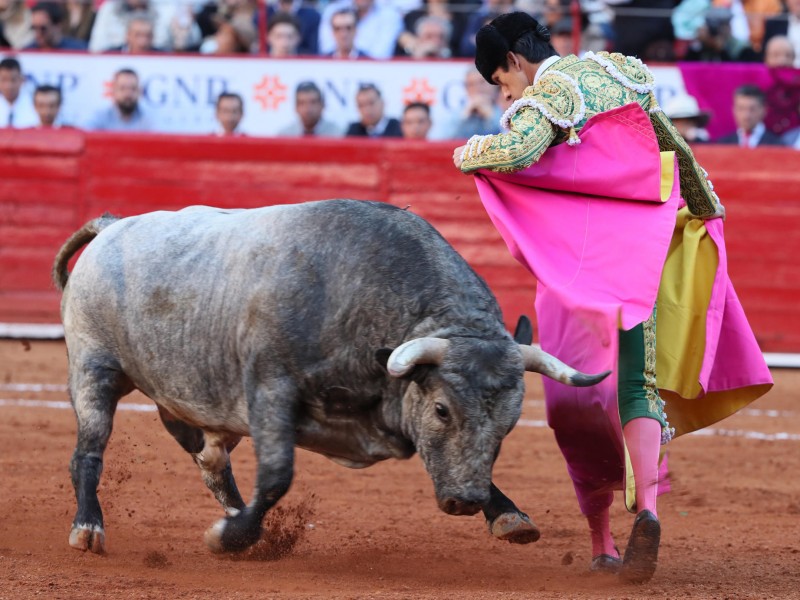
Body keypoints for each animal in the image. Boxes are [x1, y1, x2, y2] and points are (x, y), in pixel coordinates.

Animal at [54, 200, 608, 552]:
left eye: (509, 424)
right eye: (441, 409)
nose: (465, 502)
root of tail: (113, 226)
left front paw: (508, 515)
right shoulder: (270, 391)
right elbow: (278, 475)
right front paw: (230, 539)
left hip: (189, 397)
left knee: (210, 461)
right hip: (93, 371)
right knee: (88, 453)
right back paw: (88, 528)